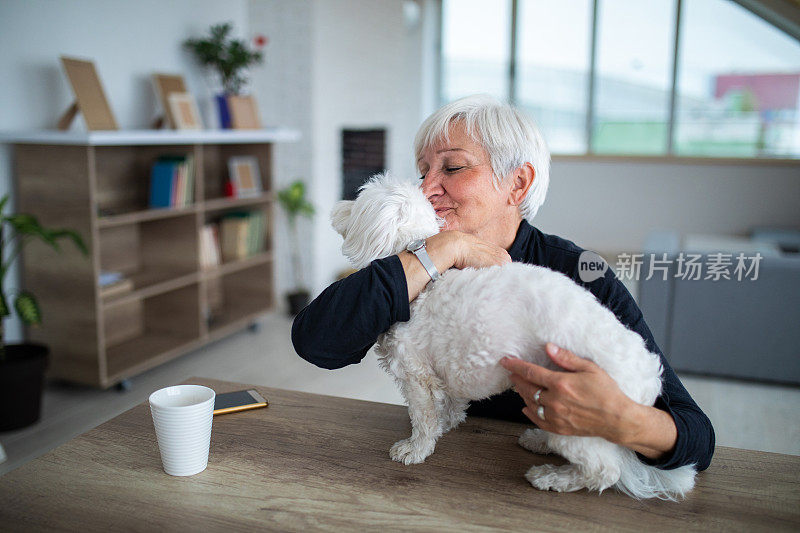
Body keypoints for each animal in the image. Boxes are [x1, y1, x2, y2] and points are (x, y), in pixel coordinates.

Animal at [332, 171, 692, 498]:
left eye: (358, 198)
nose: (336, 208)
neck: (426, 283)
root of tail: (648, 379)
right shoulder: (447, 369)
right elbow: (451, 404)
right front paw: (447, 423)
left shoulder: (415, 372)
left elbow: (422, 417)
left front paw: (416, 448)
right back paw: (539, 441)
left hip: (578, 413)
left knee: (603, 470)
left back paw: (552, 478)